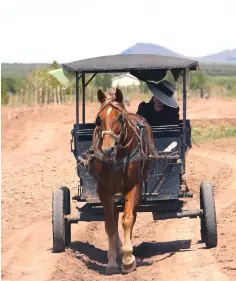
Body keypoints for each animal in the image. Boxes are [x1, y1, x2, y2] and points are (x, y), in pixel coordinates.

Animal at [87, 87, 158, 274]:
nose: (107, 149)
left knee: (130, 216)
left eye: (120, 117)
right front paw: (112, 261)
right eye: (99, 119)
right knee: (115, 215)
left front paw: (128, 259)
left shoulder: (134, 187)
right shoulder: (104, 191)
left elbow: (127, 220)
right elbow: (110, 225)